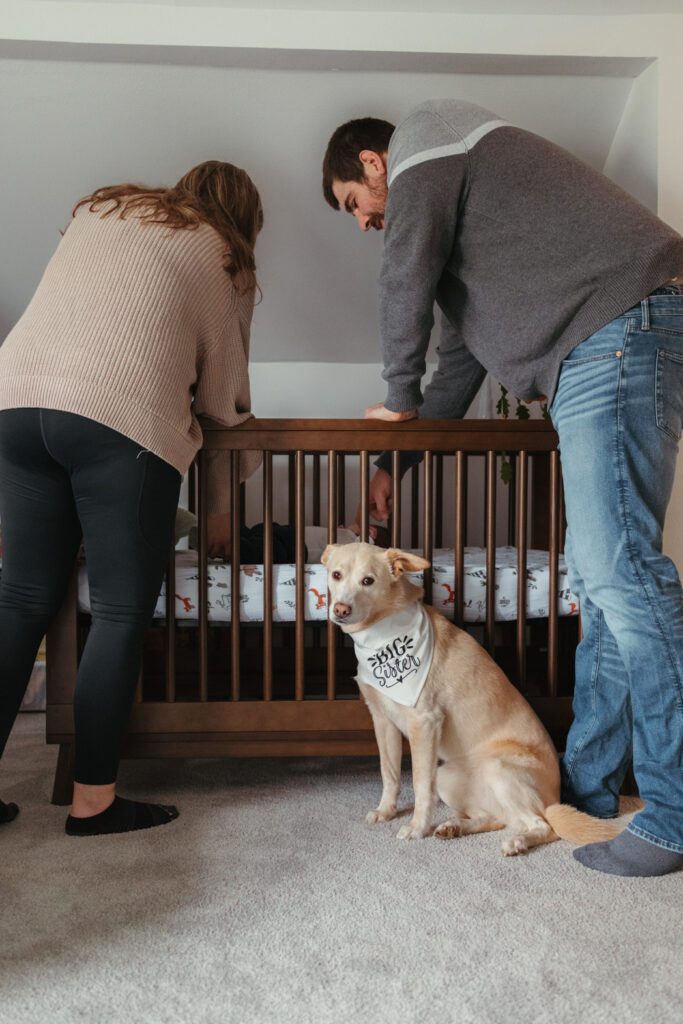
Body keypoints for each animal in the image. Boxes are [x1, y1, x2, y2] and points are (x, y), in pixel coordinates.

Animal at [323, 544, 638, 856]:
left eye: (368, 581)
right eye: (336, 575)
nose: (340, 609)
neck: (382, 632)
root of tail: (554, 797)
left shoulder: (424, 723)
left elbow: (420, 785)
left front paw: (416, 828)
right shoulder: (382, 720)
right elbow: (388, 773)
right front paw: (386, 812)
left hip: (498, 769)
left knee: (543, 825)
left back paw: (517, 842)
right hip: (448, 778)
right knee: (500, 818)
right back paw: (455, 827)